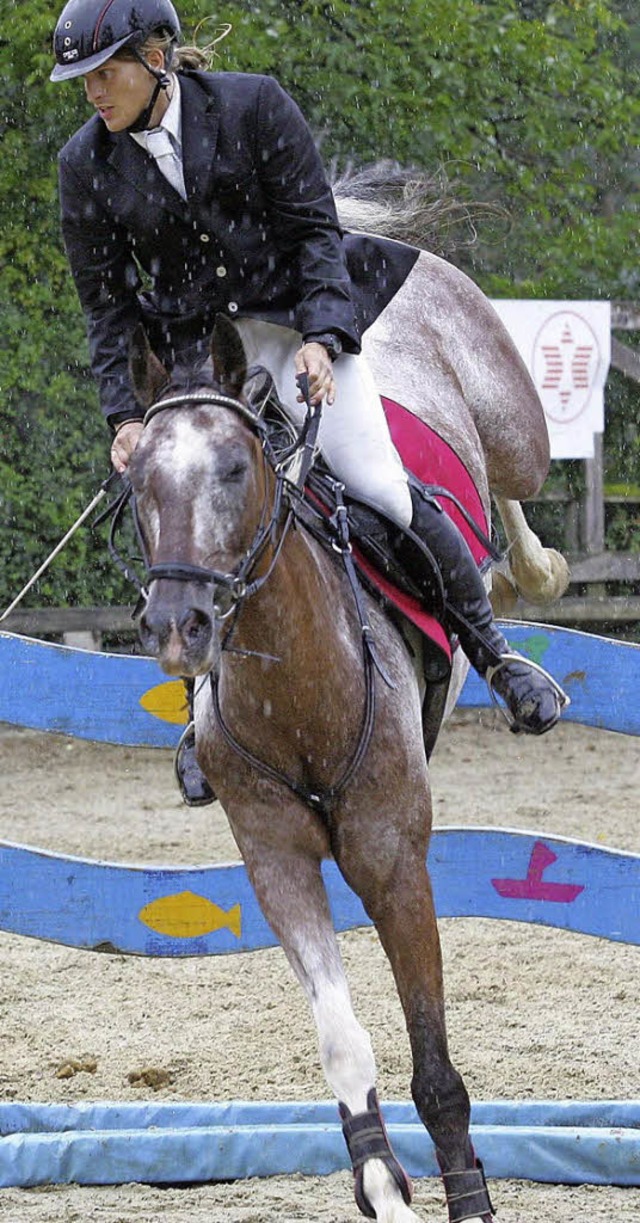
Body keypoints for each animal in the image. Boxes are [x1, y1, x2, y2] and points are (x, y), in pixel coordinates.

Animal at [124, 245, 565, 1213]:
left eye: (236, 469)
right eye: (138, 483)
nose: (178, 626)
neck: (296, 688)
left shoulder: (392, 861)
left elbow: (435, 1067)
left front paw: (468, 1200)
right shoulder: (277, 859)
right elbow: (342, 1037)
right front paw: (381, 1182)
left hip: (513, 423)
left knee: (499, 494)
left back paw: (533, 584)